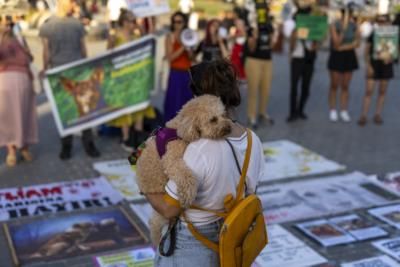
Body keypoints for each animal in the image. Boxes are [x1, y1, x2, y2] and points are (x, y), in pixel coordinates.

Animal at [134, 94, 231, 245]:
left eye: (223, 115)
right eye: (213, 119)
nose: (229, 128)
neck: (180, 131)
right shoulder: (172, 161)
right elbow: (186, 176)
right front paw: (188, 195)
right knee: (154, 223)